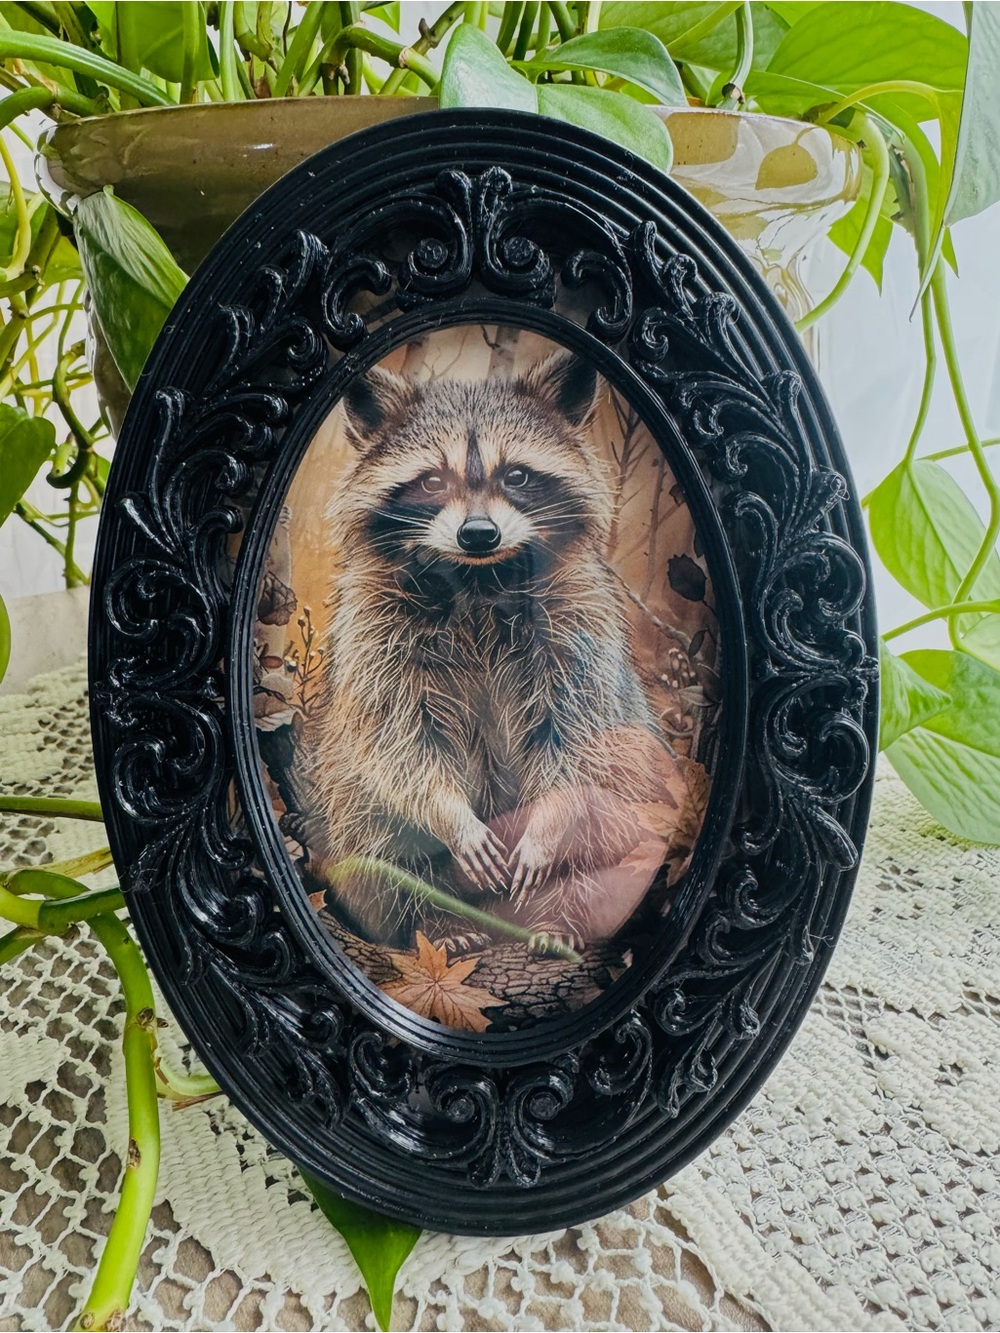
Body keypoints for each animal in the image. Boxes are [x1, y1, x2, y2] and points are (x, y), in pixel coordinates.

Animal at [307, 349, 675, 952]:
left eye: (517, 475)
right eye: (432, 480)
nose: (478, 534)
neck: (478, 580)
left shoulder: (579, 625)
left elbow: (578, 741)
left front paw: (550, 826)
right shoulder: (374, 632)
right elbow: (396, 743)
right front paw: (451, 817)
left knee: (617, 798)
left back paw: (562, 917)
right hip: (349, 802)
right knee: (370, 822)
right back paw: (433, 922)